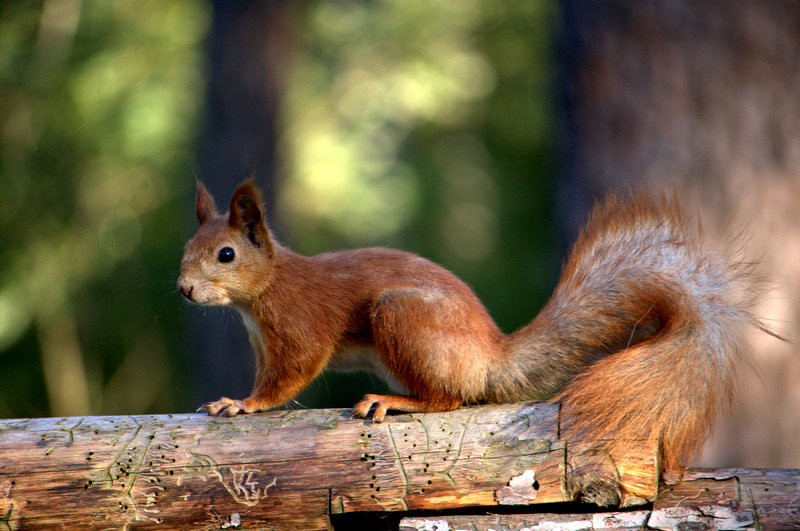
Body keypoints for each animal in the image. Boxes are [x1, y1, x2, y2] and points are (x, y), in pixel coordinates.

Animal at [178, 181, 780, 480]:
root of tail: (491, 357)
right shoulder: (262, 340)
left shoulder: (299, 326)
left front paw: (243, 404)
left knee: (448, 399)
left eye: (226, 254)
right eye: (188, 248)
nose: (183, 290)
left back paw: (396, 402)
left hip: (401, 316)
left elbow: (290, 377)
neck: (264, 291)